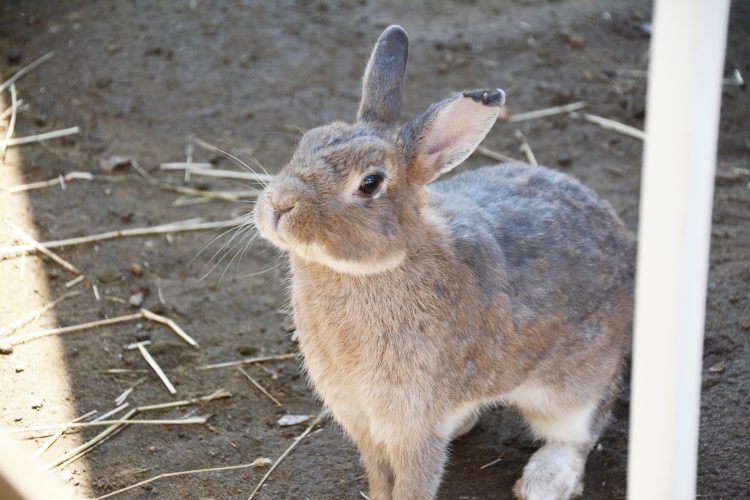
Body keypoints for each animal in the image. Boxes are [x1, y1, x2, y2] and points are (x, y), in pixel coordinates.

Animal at [253, 25, 636, 500]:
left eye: (370, 183)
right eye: (307, 140)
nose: (278, 205)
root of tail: (618, 231)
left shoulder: (413, 425)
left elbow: (412, 484)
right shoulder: (362, 420)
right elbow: (379, 476)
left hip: (575, 385)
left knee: (578, 431)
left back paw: (544, 481)